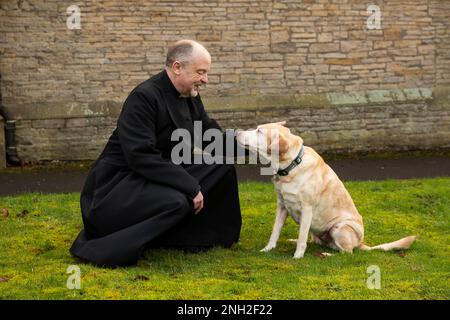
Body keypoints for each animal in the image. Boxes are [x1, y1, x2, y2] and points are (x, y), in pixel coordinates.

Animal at [236, 121, 414, 258]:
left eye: (259, 131)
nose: (237, 132)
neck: (291, 166)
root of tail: (361, 243)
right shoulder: (282, 206)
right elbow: (275, 232)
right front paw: (268, 249)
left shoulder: (307, 209)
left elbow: (302, 237)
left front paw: (297, 257)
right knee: (314, 240)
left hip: (339, 227)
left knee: (346, 252)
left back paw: (327, 254)